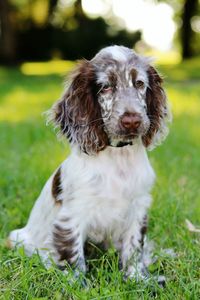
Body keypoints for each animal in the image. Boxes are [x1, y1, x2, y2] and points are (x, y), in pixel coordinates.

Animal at [8, 45, 171, 280]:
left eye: (140, 84)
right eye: (105, 87)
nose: (131, 121)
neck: (118, 157)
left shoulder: (138, 208)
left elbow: (134, 248)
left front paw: (137, 279)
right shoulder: (72, 216)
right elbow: (73, 257)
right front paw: (76, 283)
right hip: (20, 239)